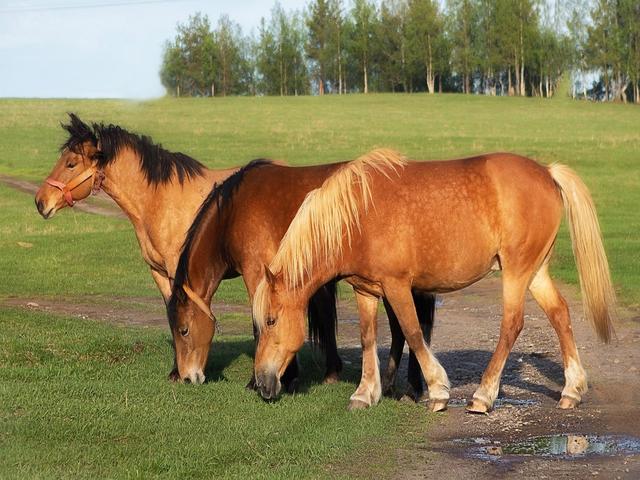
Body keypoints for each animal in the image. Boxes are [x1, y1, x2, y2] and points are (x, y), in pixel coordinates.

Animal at [33, 114, 341, 387]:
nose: (40, 202)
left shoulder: (178, 270)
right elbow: (171, 311)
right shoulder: (159, 273)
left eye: (71, 163)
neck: (160, 201)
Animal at [167, 158, 436, 395]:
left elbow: (260, 326)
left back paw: (408, 387)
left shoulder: (257, 273)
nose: (186, 377)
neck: (232, 212)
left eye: (183, 330)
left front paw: (259, 381)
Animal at [253, 148, 616, 413]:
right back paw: (571, 390)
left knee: (512, 324)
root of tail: (547, 172)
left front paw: (438, 390)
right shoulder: (365, 290)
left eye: (271, 320)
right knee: (560, 314)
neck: (357, 216)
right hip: (535, 271)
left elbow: (412, 332)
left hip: (516, 271)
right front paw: (365, 393)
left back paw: (483, 396)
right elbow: (368, 338)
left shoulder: (397, 286)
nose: (262, 383)